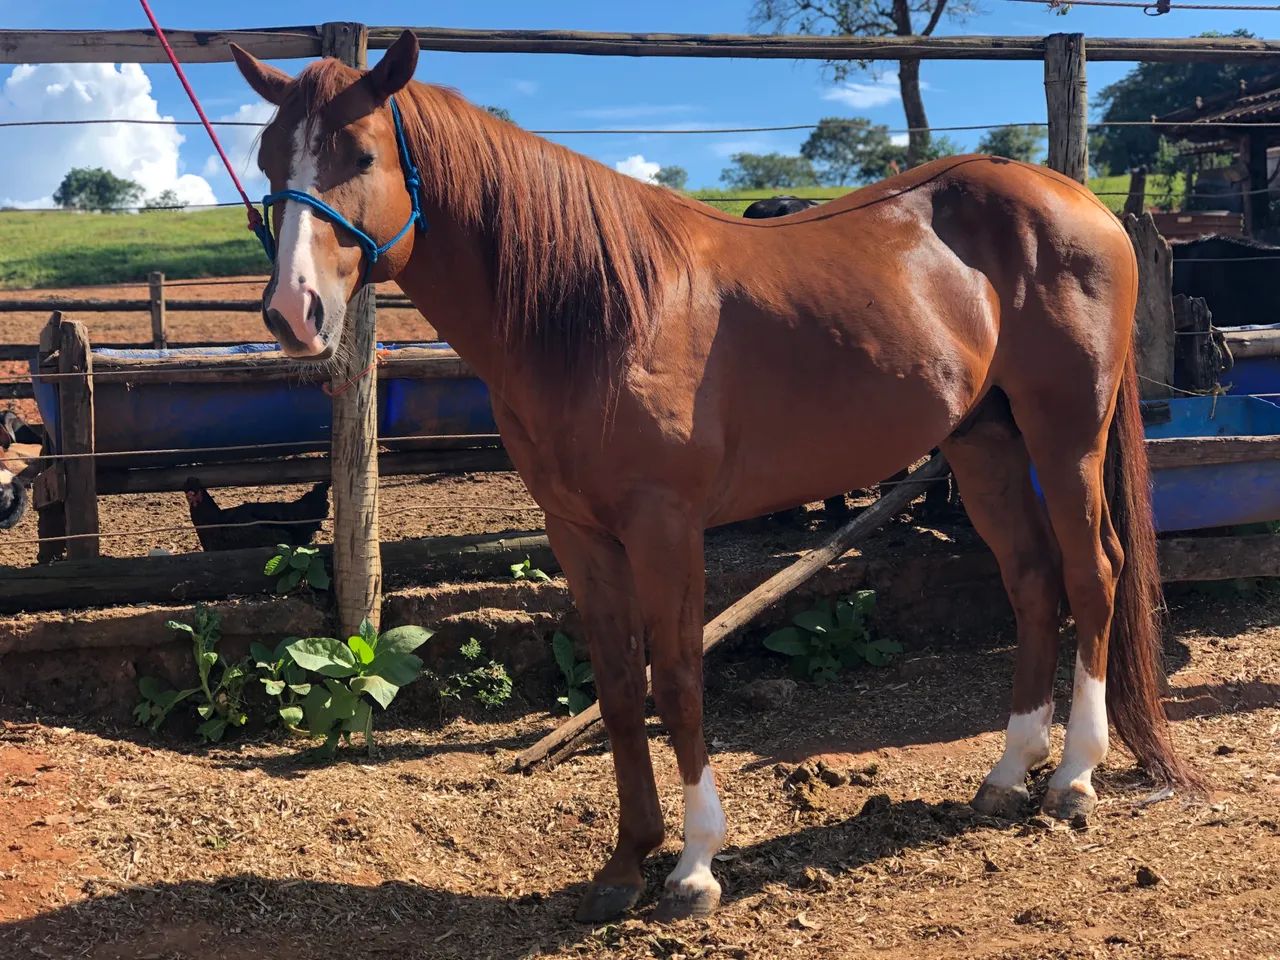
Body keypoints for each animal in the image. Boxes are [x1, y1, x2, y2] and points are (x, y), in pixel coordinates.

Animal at [232, 32, 1198, 923]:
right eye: (270, 160)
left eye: (361, 155)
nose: (292, 312)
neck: (600, 312)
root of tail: (1078, 201)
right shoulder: (578, 532)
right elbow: (619, 688)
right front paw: (625, 864)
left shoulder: (665, 527)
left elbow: (677, 678)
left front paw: (695, 866)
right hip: (983, 441)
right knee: (1033, 580)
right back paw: (1007, 772)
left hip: (1065, 434)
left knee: (1094, 572)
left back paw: (1073, 777)